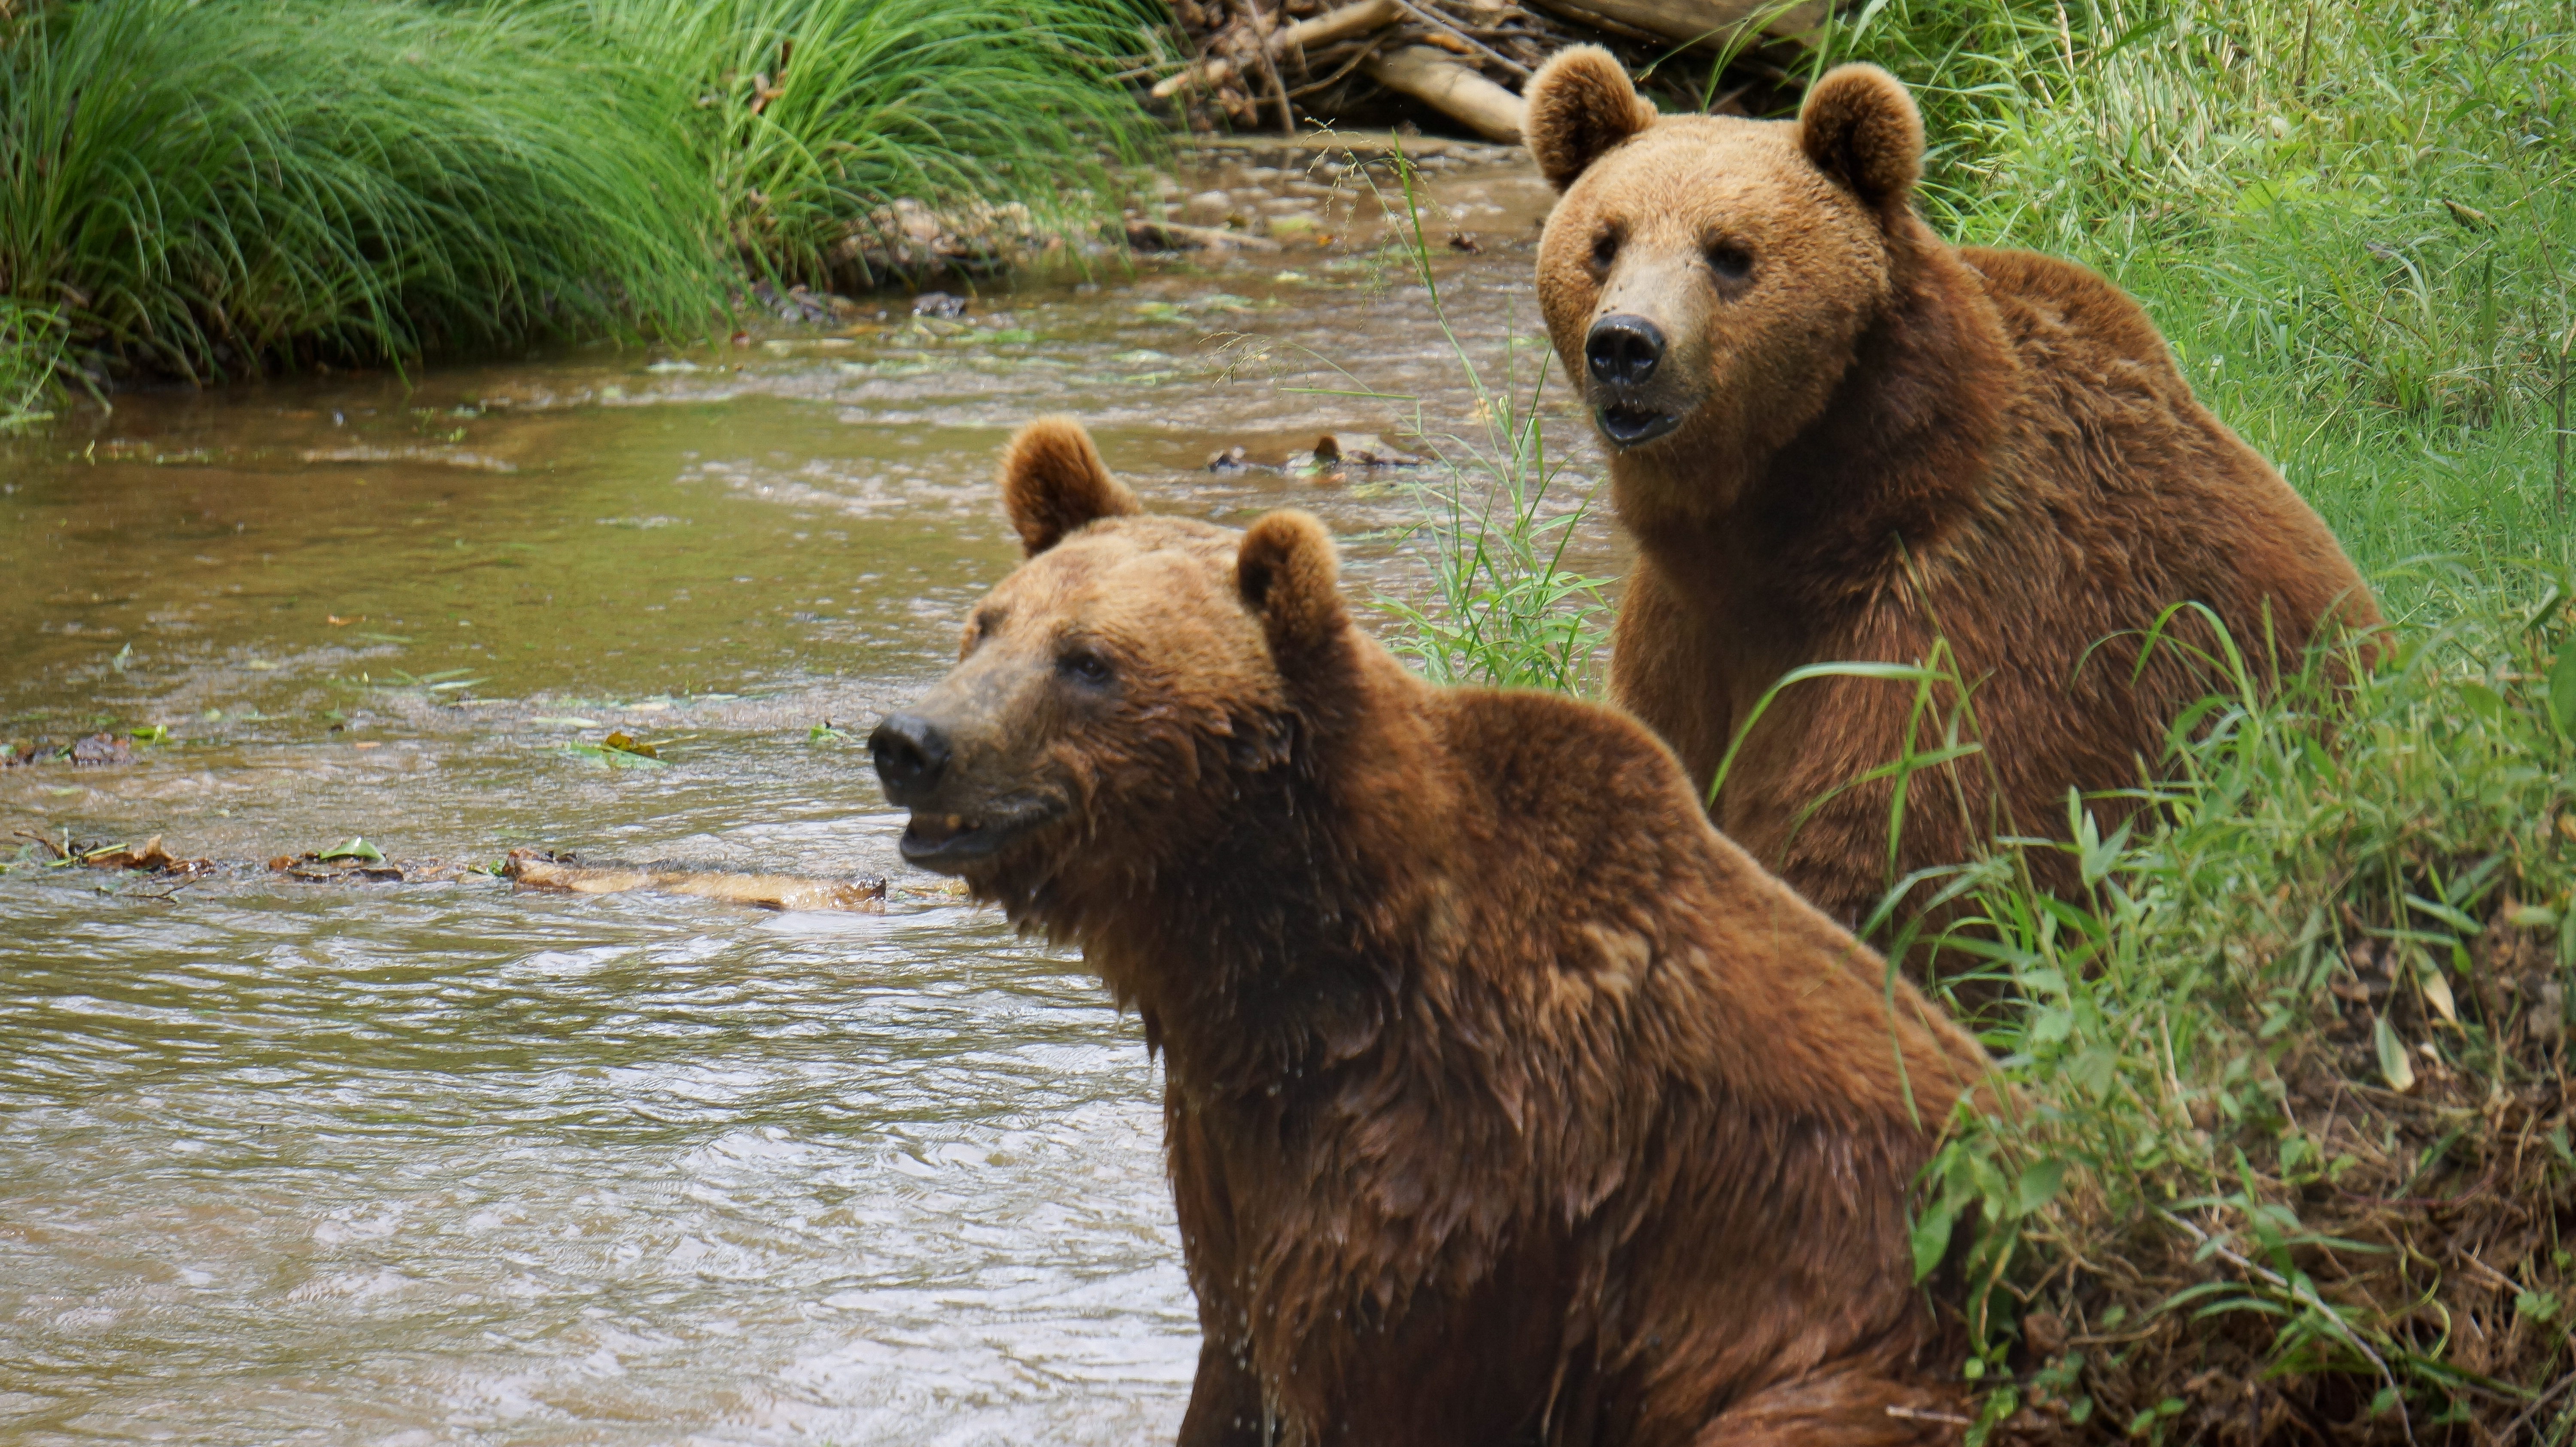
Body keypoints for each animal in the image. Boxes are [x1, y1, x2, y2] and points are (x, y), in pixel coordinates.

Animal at [869, 415, 1996, 1446]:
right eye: (988, 624)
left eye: (1088, 660)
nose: (910, 739)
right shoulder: (1237, 1167)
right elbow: (1231, 1357)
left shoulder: (1465, 1173)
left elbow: (1382, 1360)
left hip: (1865, 1353)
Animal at [1521, 48, 2384, 958]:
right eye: (1604, 242)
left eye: (1730, 253)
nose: (1627, 344)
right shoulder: (1680, 638)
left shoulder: (1959, 622)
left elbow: (1896, 852)